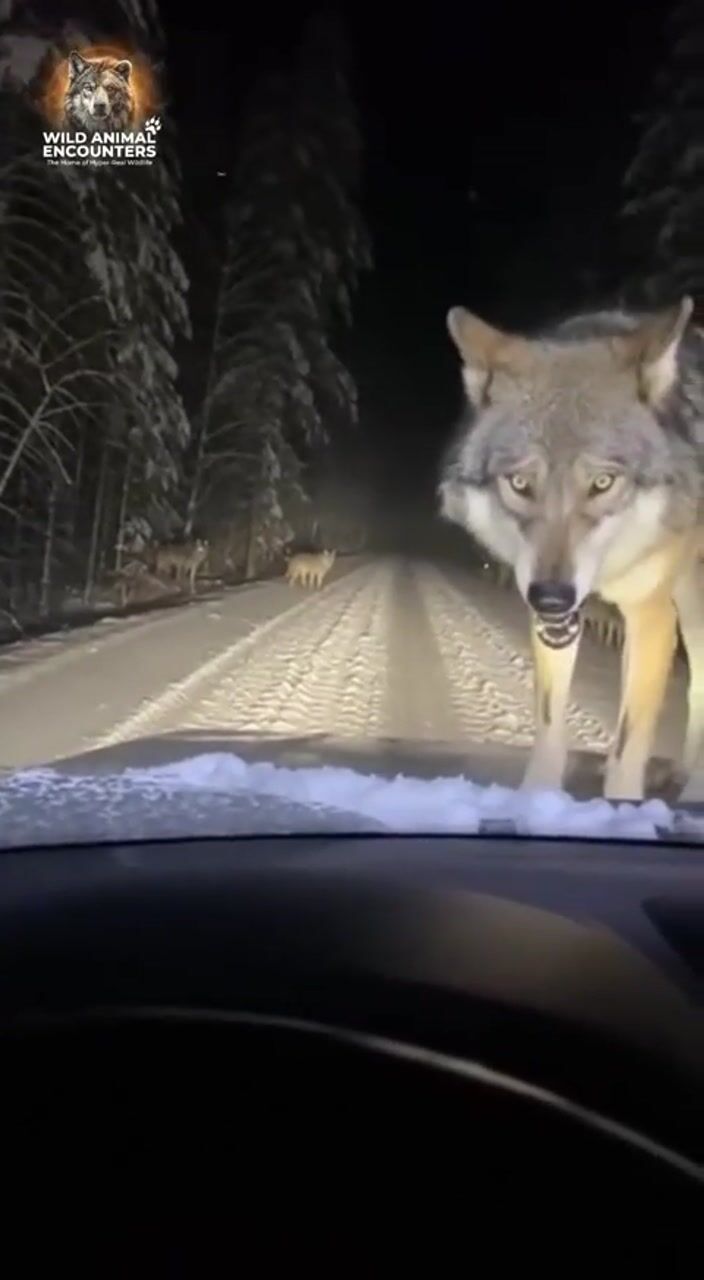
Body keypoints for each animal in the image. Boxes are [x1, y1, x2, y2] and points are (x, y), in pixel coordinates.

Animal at [439, 296, 704, 801]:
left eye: (601, 483)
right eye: (521, 483)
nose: (551, 597)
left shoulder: (651, 611)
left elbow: (628, 741)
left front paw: (622, 807)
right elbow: (549, 723)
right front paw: (537, 799)